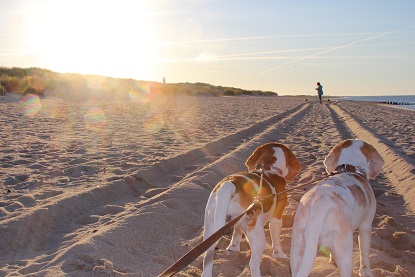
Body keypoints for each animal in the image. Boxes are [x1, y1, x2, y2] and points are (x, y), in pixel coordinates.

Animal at [203, 142, 300, 276]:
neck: (269, 167)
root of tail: (230, 184)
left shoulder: (237, 224)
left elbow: (236, 234)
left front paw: (233, 248)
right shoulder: (276, 218)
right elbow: (276, 240)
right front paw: (279, 254)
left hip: (210, 231)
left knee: (207, 261)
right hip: (258, 237)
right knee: (253, 263)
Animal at [290, 139, 386, 276]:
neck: (350, 168)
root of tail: (320, 203)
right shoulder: (366, 226)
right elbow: (365, 255)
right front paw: (366, 272)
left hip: (297, 248)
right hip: (345, 251)